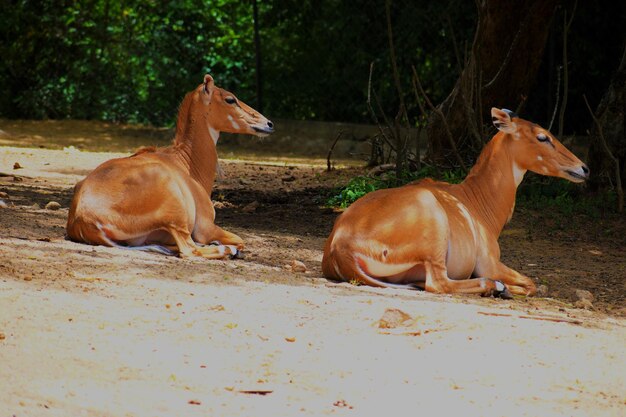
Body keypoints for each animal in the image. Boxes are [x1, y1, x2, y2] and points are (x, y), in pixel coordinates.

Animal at [66, 73, 272, 258]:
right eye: (230, 99)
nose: (268, 123)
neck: (187, 163)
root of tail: (84, 218)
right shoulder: (206, 226)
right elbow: (239, 240)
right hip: (175, 211)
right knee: (189, 250)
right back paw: (227, 250)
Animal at [320, 107, 588, 296]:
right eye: (542, 137)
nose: (583, 168)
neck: (475, 201)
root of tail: (340, 247)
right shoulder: (489, 262)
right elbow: (531, 284)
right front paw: (506, 288)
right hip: (434, 230)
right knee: (438, 283)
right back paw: (496, 287)